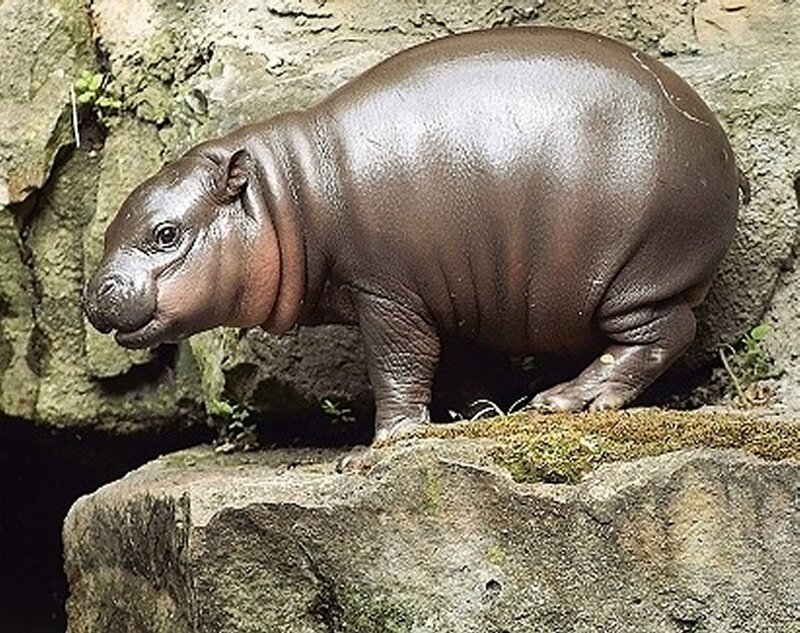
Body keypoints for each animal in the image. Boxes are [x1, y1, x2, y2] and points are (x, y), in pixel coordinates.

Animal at [84, 27, 743, 441]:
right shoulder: (456, 292)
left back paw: (568, 400)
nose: (95, 294)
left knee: (661, 333)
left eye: (166, 234)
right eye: (113, 224)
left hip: (638, 273)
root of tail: (715, 136)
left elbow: (400, 360)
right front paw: (477, 416)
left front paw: (389, 440)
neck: (288, 191)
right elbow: (460, 360)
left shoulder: (387, 291)